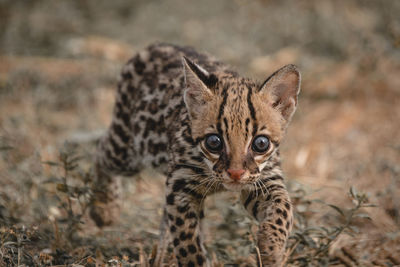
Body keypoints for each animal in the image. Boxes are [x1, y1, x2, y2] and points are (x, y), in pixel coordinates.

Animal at [90, 43, 300, 266]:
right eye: (214, 142)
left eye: (261, 143)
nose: (235, 173)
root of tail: (158, 46)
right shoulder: (180, 186)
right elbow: (187, 241)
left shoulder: (265, 179)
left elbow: (282, 210)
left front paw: (271, 251)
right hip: (126, 150)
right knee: (101, 149)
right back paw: (104, 208)